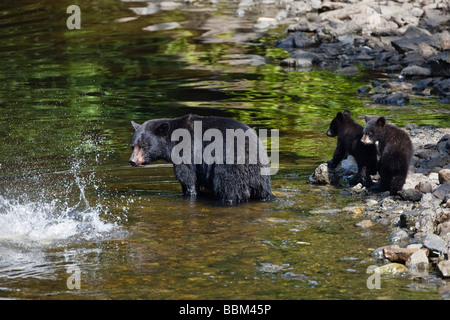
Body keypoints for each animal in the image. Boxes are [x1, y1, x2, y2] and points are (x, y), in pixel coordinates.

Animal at [128, 114, 272, 201]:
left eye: (144, 145)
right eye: (133, 145)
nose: (132, 161)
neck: (172, 140)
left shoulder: (186, 151)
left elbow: (187, 177)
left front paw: (190, 192)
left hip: (230, 167)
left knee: (228, 187)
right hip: (262, 178)